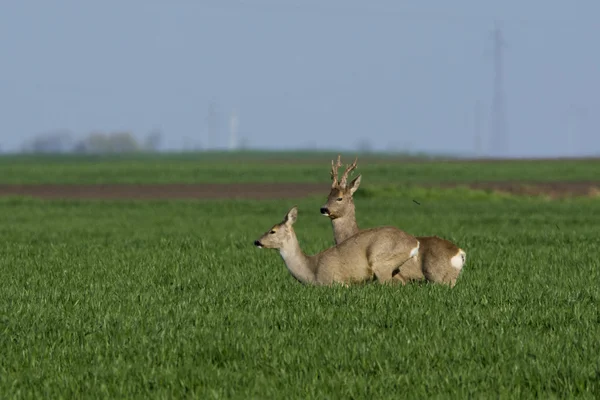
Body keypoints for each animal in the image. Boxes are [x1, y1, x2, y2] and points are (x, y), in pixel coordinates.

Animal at [251, 205, 420, 286]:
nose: (257, 241)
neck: (311, 270)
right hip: (394, 267)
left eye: (272, 231)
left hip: (381, 262)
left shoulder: (336, 282)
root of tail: (414, 242)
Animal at [322, 154, 466, 288]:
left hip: (439, 277)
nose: (323, 209)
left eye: (339, 198)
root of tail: (460, 253)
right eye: (328, 196)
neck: (352, 235)